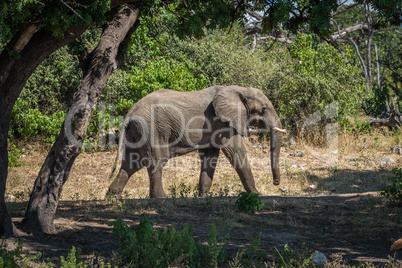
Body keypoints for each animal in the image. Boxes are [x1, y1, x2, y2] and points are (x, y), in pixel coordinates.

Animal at [107, 86, 286, 199]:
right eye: (264, 109)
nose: (276, 182)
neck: (239, 89)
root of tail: (130, 113)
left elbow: (210, 157)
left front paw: (203, 197)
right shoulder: (223, 122)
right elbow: (236, 152)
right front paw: (257, 194)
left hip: (136, 133)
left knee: (131, 164)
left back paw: (112, 197)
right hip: (151, 130)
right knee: (156, 161)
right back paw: (162, 198)